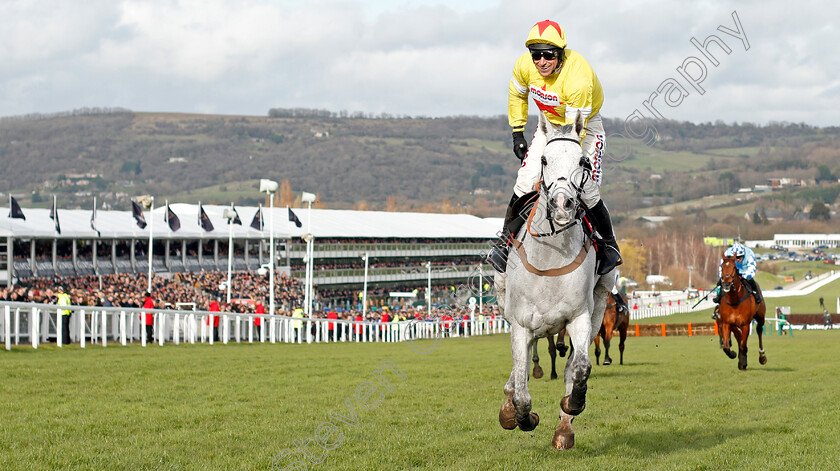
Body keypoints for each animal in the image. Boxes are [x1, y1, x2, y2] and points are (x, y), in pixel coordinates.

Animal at [496, 112, 612, 452]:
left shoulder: (580, 316)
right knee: (518, 373)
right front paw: (520, 416)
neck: (550, 255)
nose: (562, 204)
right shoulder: (520, 323)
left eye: (583, 161)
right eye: (544, 160)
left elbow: (581, 368)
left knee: (572, 365)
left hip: (599, 307)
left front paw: (572, 405)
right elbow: (522, 390)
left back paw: (564, 429)